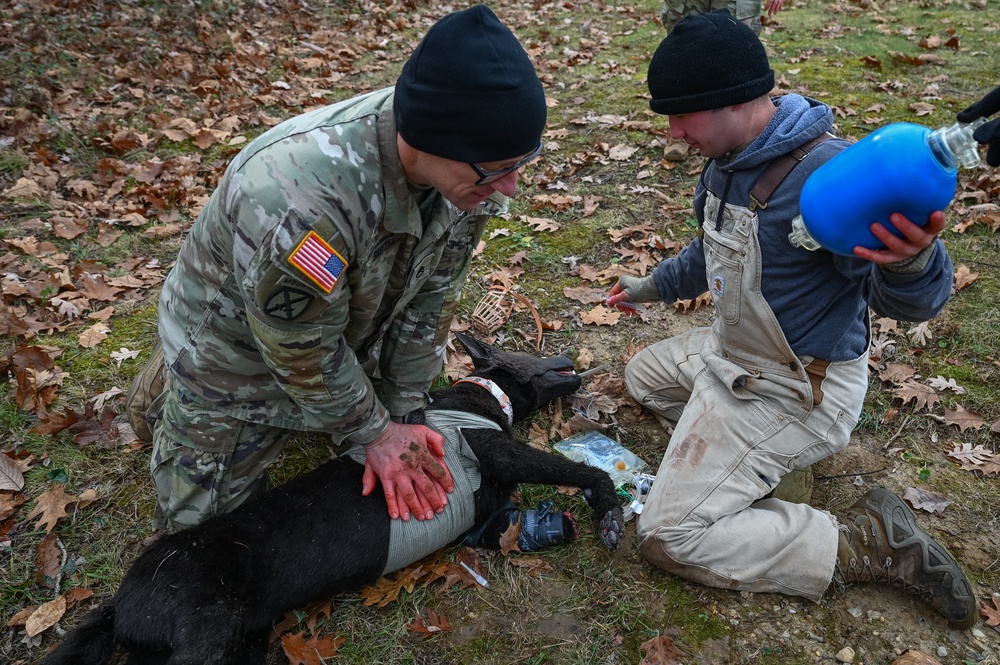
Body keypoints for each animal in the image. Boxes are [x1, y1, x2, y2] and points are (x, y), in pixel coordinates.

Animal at [48, 334, 624, 660]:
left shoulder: (487, 518)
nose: (569, 353)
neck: (480, 397)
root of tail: (119, 606)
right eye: (534, 350)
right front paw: (609, 508)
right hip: (207, 631)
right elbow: (575, 470)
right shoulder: (500, 455)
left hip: (246, 640)